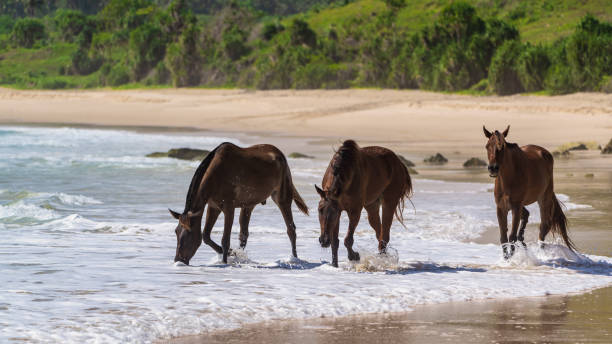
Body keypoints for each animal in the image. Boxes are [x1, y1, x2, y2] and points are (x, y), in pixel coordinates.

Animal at [170, 141, 308, 264]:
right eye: (176, 232)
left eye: (187, 234)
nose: (178, 260)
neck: (216, 175)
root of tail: (280, 155)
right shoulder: (213, 207)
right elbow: (206, 236)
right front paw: (232, 253)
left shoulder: (229, 208)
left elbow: (225, 240)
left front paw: (225, 261)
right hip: (248, 205)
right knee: (243, 235)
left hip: (282, 198)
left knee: (291, 229)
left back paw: (295, 259)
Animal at [316, 140, 412, 268]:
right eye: (319, 210)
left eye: (333, 212)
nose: (324, 241)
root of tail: (399, 162)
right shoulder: (339, 211)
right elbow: (335, 242)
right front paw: (334, 264)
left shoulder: (354, 211)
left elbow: (348, 240)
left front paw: (354, 256)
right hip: (372, 205)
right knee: (379, 233)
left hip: (389, 201)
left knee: (385, 234)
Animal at [482, 126, 572, 258]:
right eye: (487, 146)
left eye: (501, 146)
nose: (493, 168)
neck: (508, 179)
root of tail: (544, 152)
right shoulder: (501, 208)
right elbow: (503, 238)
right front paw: (506, 259)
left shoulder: (515, 207)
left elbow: (511, 237)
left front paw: (512, 258)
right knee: (527, 215)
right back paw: (523, 241)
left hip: (543, 198)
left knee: (544, 226)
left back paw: (540, 252)